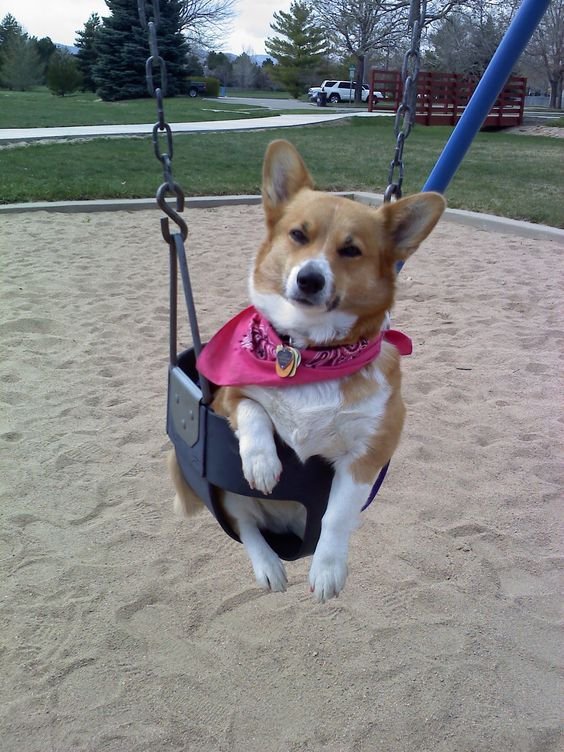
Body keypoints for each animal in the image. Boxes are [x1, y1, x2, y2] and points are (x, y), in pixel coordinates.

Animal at [167, 140, 446, 600]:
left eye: (351, 250)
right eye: (298, 235)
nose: (309, 279)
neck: (305, 354)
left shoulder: (368, 450)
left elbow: (335, 516)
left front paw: (328, 569)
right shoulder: (227, 395)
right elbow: (255, 412)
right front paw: (262, 463)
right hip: (228, 497)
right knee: (246, 527)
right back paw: (268, 567)